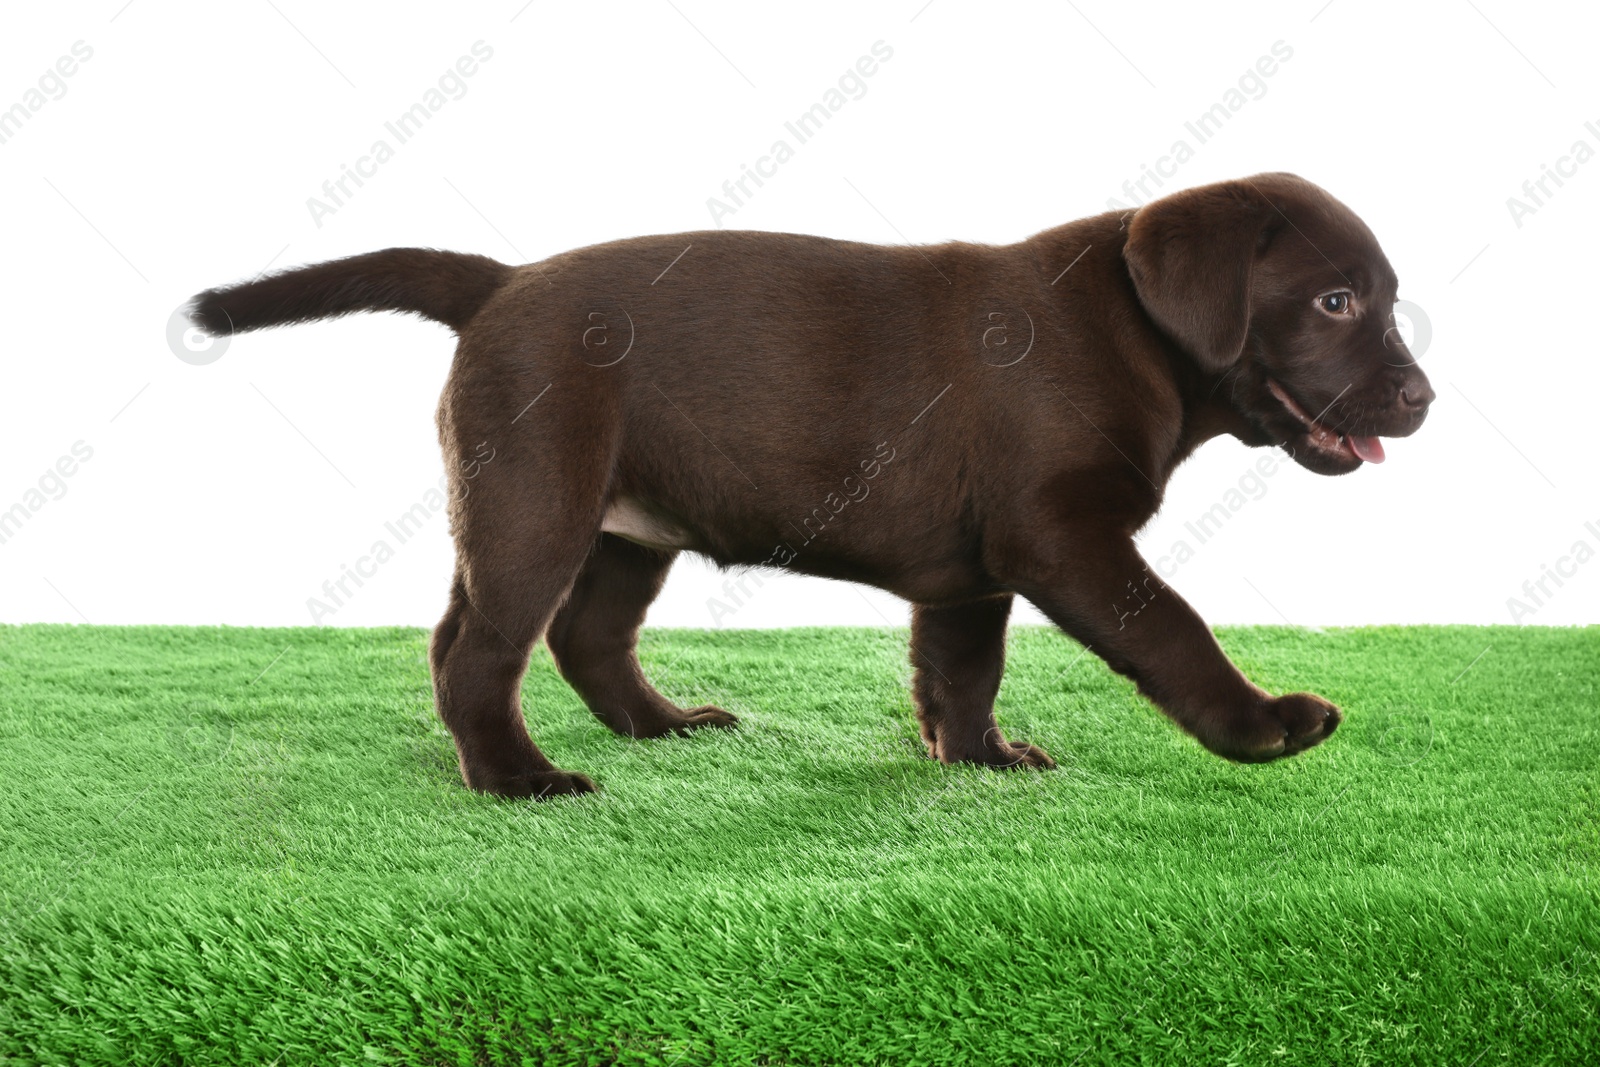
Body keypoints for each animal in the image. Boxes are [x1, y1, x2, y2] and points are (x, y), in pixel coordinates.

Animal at [193, 171, 1433, 796]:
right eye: (1334, 302)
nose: (1422, 398)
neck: (1132, 331)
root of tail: (500, 283)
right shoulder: (1063, 535)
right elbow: (1171, 626)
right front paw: (1259, 725)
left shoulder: (977, 566)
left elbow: (961, 670)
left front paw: (976, 762)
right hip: (536, 503)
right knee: (477, 652)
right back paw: (515, 778)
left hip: (627, 523)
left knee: (585, 636)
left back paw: (662, 727)